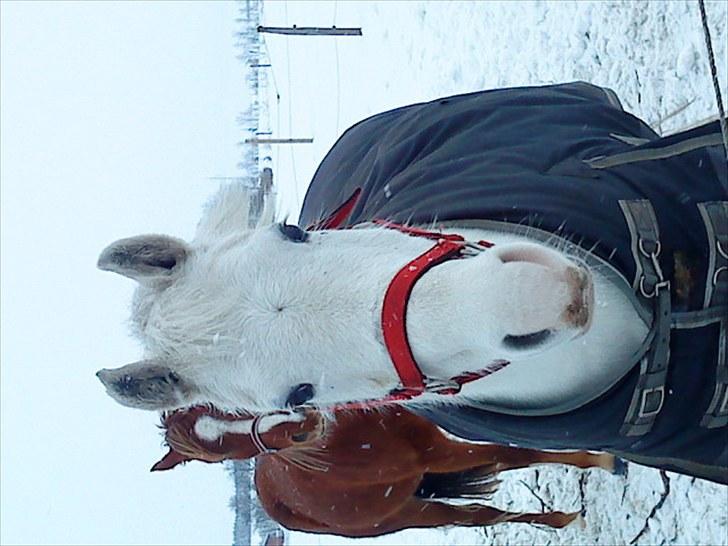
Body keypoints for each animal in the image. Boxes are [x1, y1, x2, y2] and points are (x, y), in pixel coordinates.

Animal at [155, 404, 620, 536]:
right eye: (218, 458)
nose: (301, 426)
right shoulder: (439, 454)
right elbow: (514, 454)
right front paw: (602, 460)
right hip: (410, 513)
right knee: (479, 517)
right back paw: (561, 520)